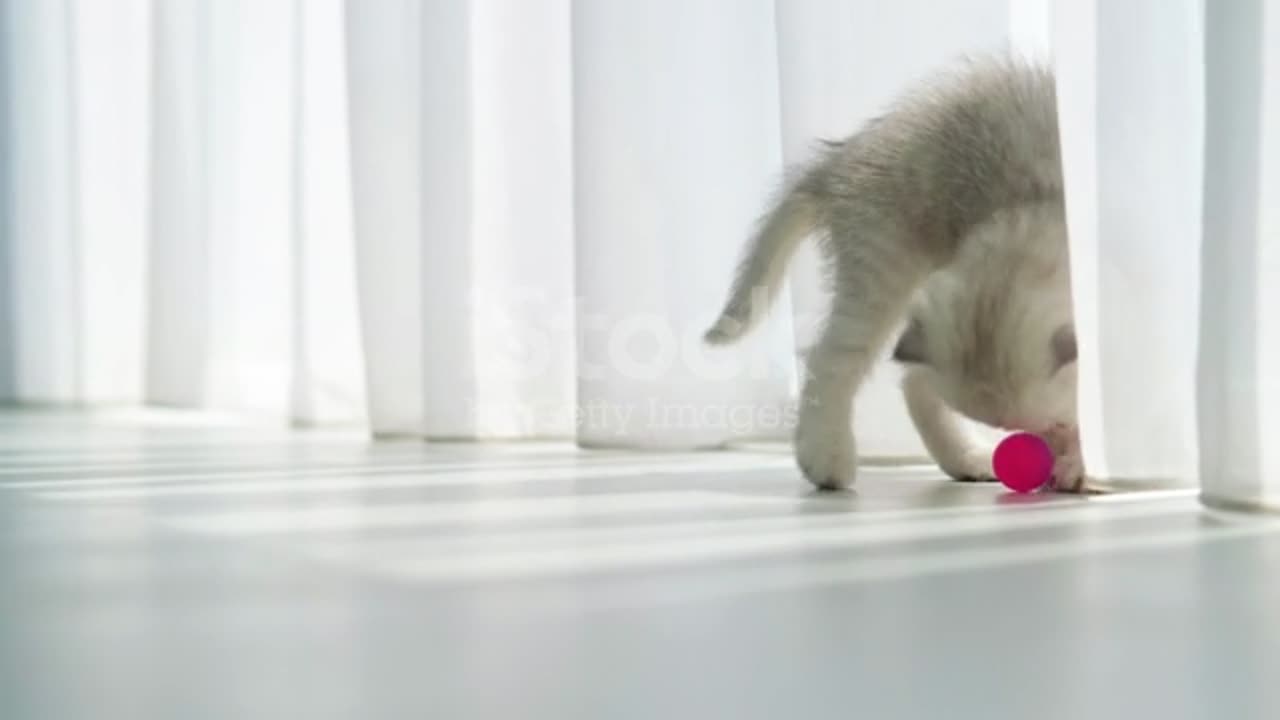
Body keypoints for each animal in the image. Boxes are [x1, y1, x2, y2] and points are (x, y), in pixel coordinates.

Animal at [706, 54, 1085, 491]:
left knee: (912, 381)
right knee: (834, 360)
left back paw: (966, 459)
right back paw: (827, 459)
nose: (1038, 456)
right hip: (881, 265)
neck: (1041, 203)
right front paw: (1076, 466)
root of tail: (839, 159)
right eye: (1049, 427)